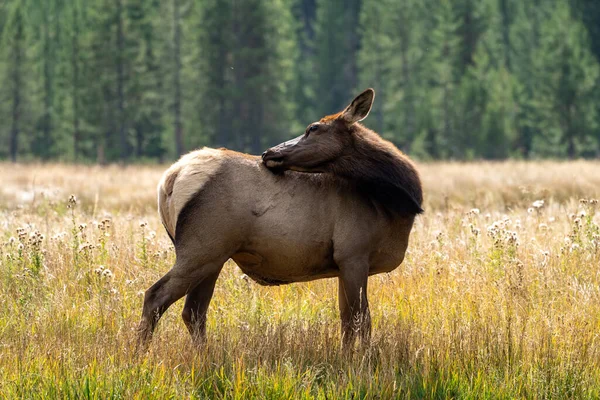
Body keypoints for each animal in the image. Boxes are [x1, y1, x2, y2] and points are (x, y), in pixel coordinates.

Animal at [140, 88, 422, 350]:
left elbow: (346, 320)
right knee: (155, 296)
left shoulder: (344, 264)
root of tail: (170, 179)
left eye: (313, 128)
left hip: (214, 257)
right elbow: (361, 321)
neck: (395, 207)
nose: (269, 152)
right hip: (201, 249)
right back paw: (140, 354)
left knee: (194, 311)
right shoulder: (354, 254)